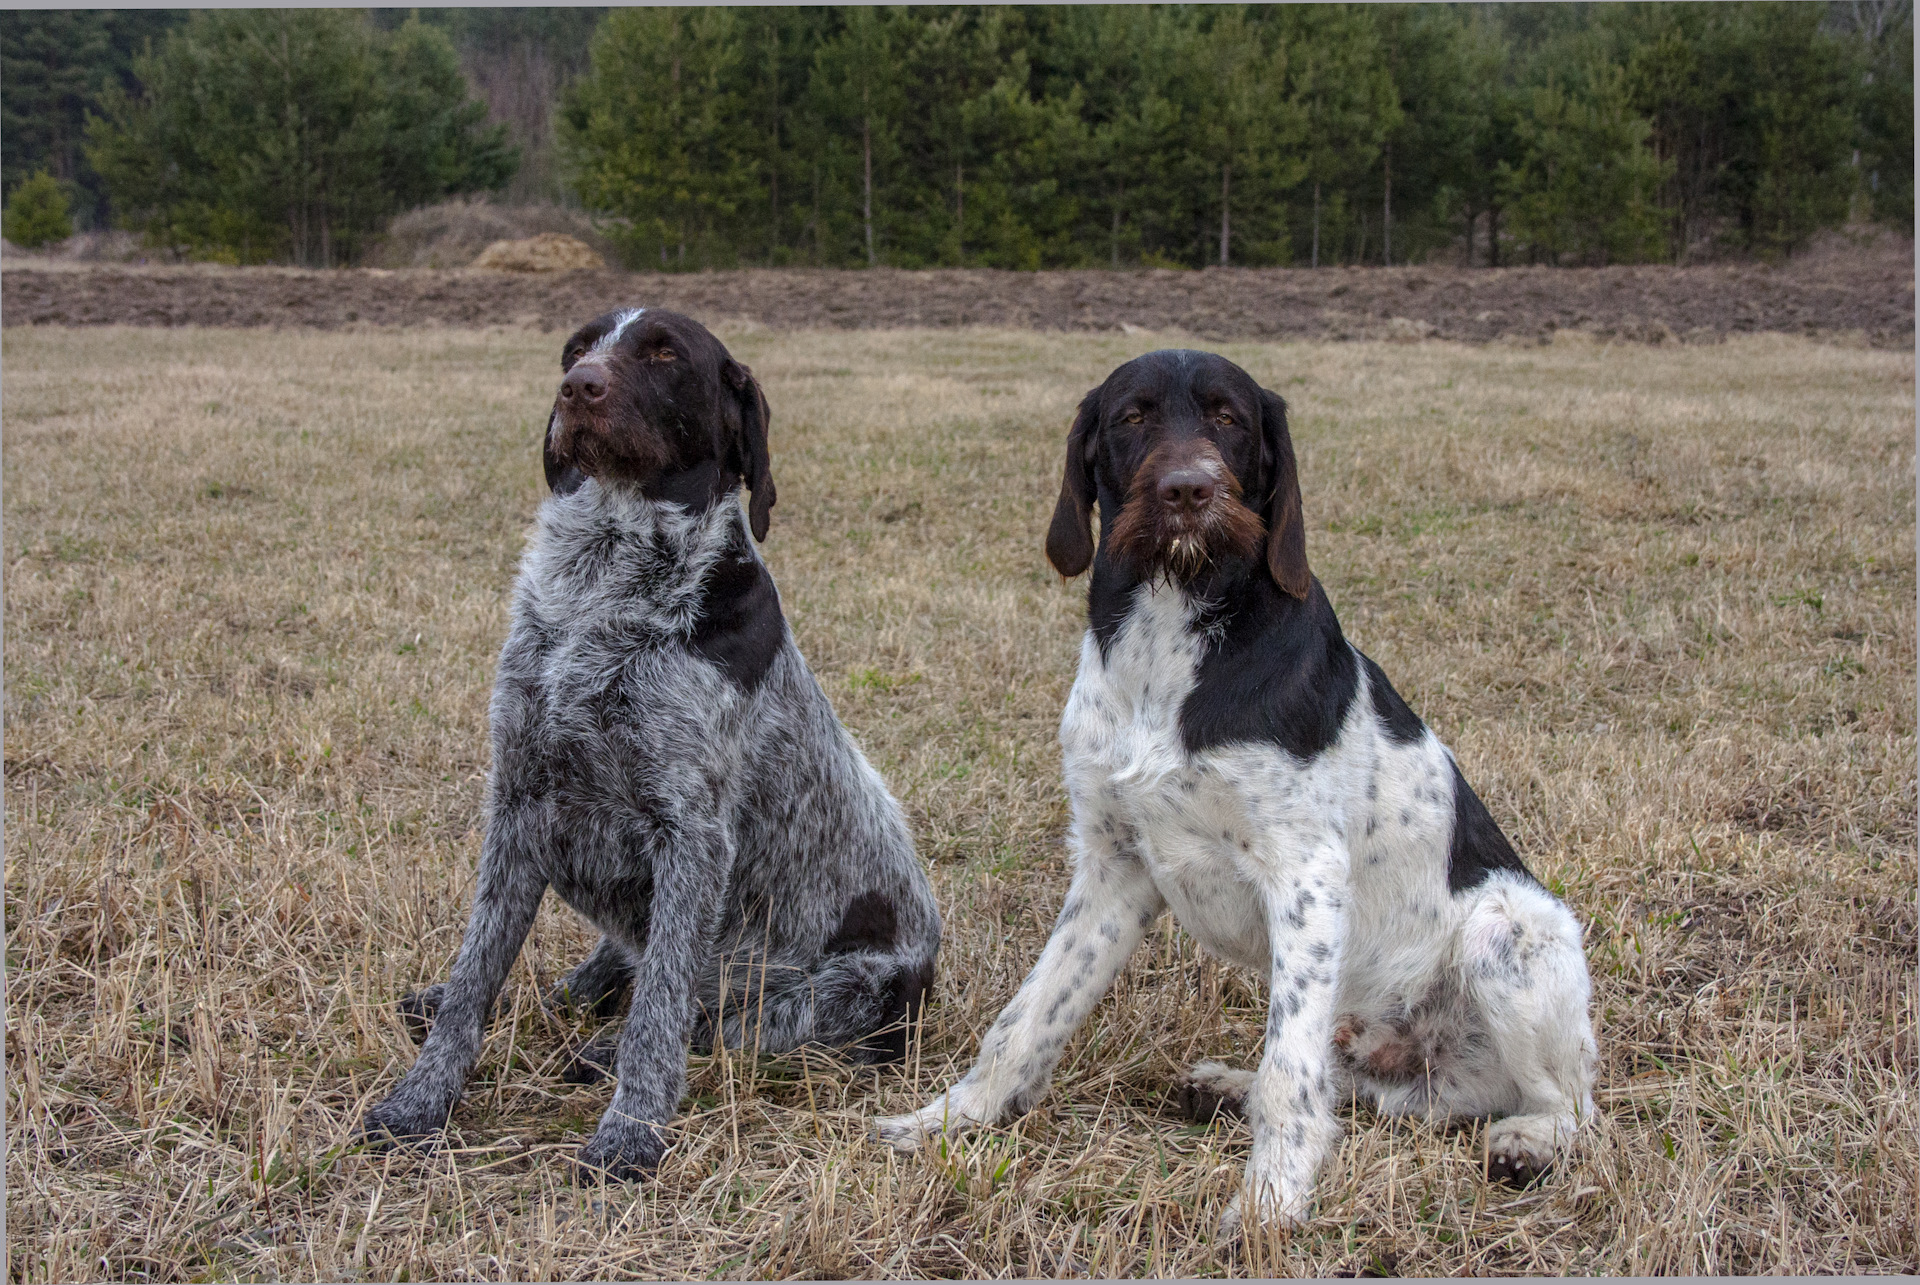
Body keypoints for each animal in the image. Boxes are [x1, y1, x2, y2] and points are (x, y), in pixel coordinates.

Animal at [360, 305, 944, 1175]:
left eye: (666, 354)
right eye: (577, 348)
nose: (577, 387)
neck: (603, 582)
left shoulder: (691, 838)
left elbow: (661, 1014)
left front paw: (628, 1132)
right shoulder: (518, 804)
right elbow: (475, 980)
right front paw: (420, 1098)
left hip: (846, 991)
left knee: (718, 1023)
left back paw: (608, 1051)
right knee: (594, 974)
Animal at [879, 347, 1597, 1229]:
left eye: (1230, 418)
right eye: (1133, 416)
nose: (1189, 491)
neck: (1171, 631)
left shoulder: (1306, 875)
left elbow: (1292, 1074)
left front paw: (1269, 1203)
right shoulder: (1114, 870)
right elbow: (1029, 1014)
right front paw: (951, 1118)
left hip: (1510, 933)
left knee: (1565, 1103)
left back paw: (1530, 1141)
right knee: (1359, 1086)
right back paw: (1228, 1086)